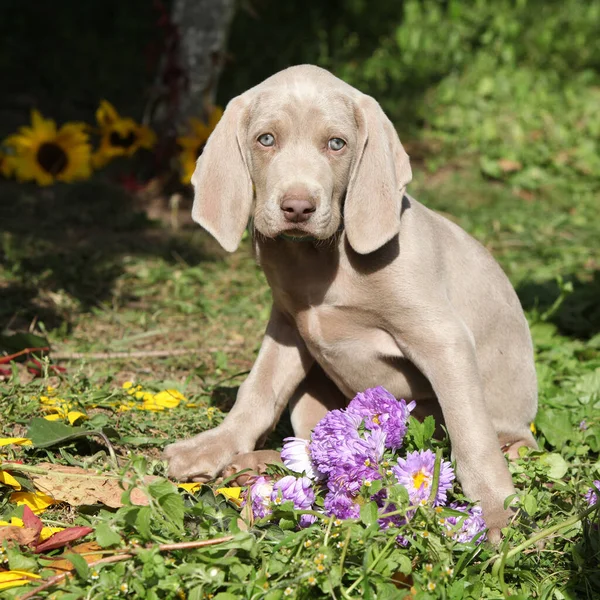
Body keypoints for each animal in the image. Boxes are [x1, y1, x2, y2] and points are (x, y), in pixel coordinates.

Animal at [162, 64, 536, 540]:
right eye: (266, 139)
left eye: (336, 144)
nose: (297, 207)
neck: (319, 259)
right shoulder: (289, 324)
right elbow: (258, 389)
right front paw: (213, 447)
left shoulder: (443, 338)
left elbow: (470, 431)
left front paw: (492, 509)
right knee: (313, 460)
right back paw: (253, 464)